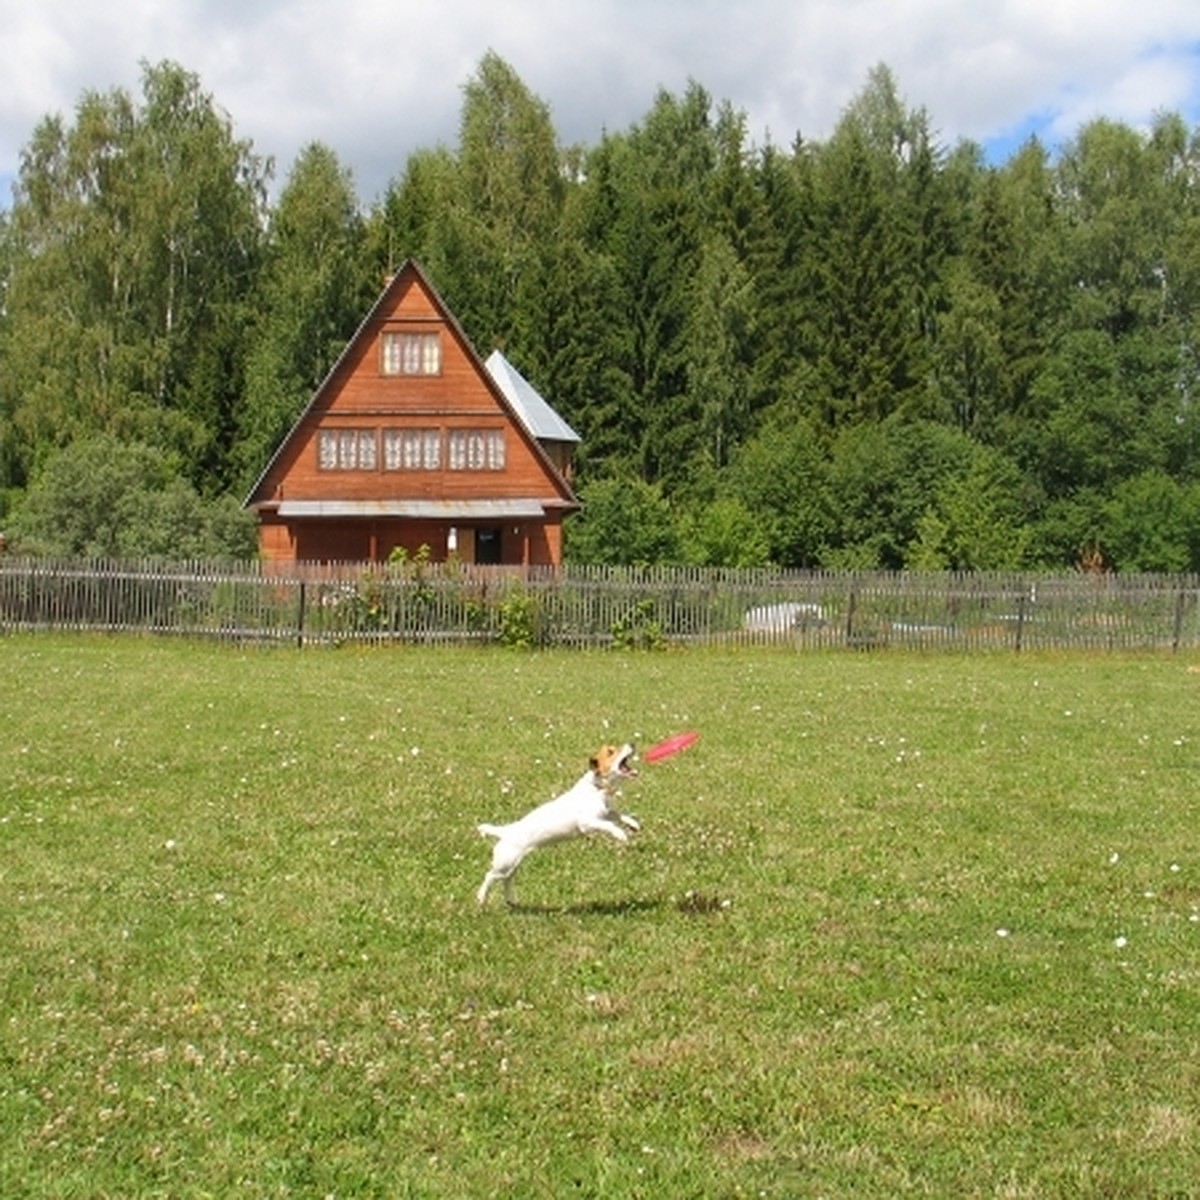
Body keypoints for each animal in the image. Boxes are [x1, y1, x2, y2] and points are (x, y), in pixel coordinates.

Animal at [472, 739, 638, 907]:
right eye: (611, 752)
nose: (632, 743)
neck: (596, 788)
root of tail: (505, 831)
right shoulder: (587, 823)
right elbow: (609, 825)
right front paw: (620, 834)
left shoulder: (605, 813)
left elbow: (618, 815)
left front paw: (633, 824)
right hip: (505, 863)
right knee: (489, 876)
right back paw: (481, 898)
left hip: (513, 864)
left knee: (507, 880)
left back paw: (511, 900)